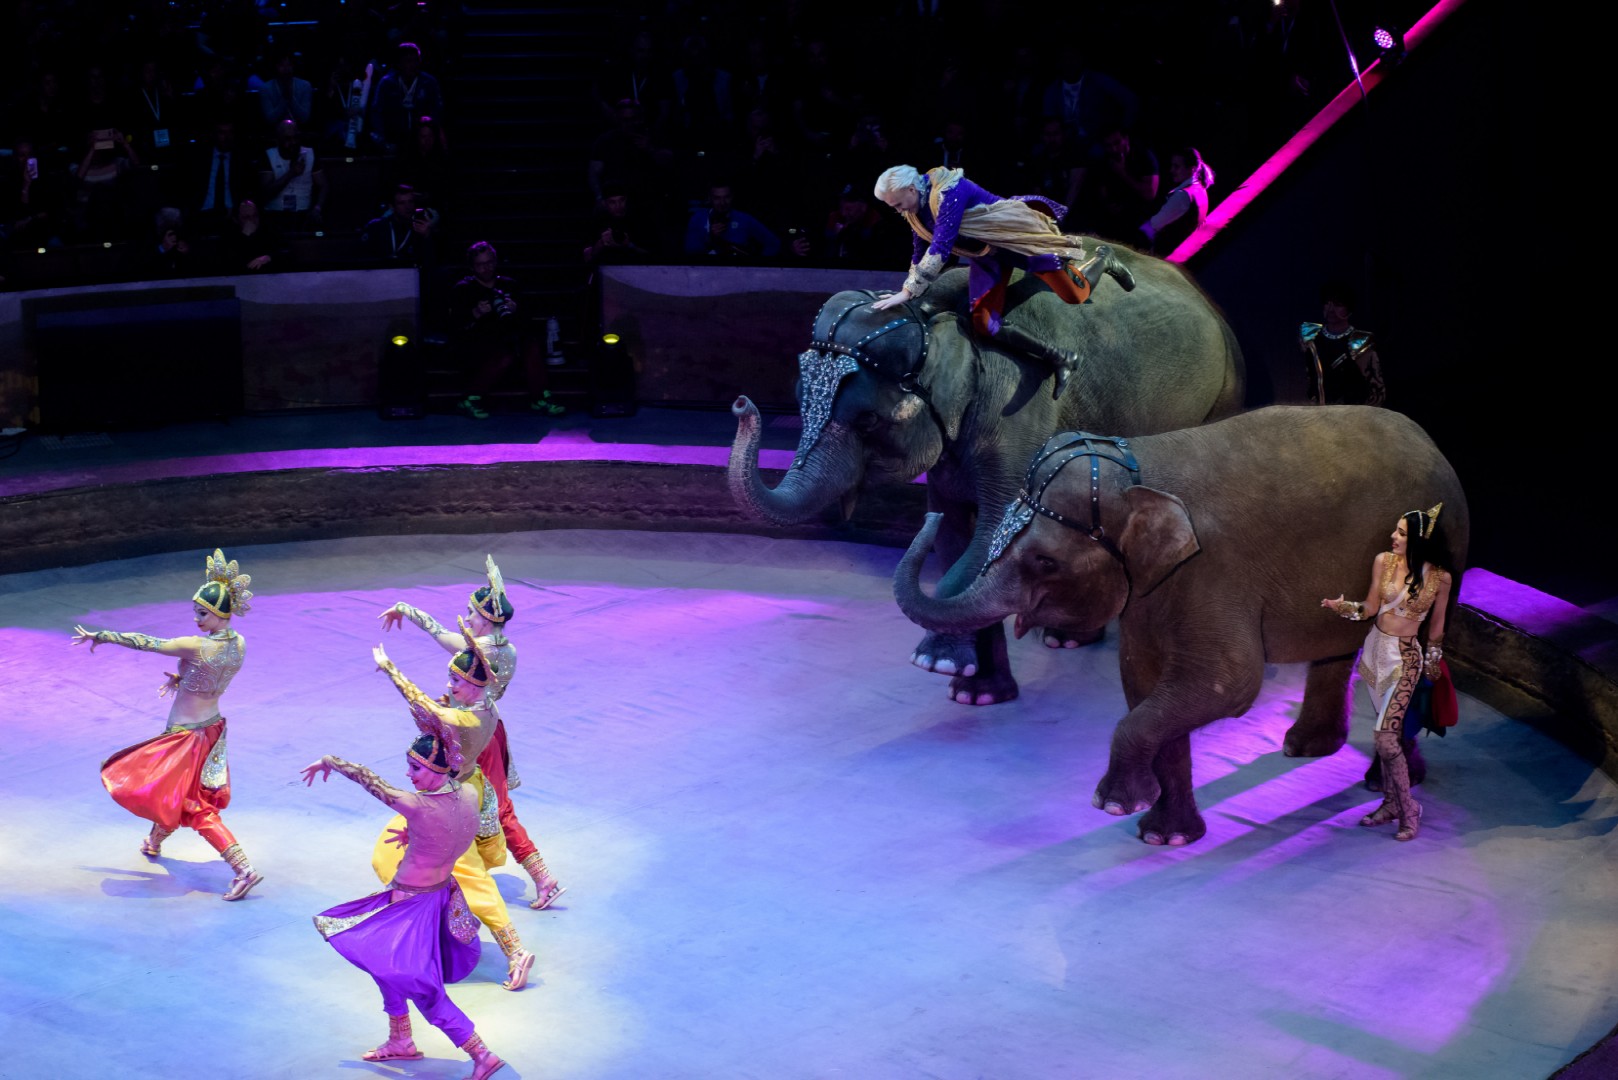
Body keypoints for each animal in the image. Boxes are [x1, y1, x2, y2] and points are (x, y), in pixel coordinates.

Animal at [729, 254, 1246, 706]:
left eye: (868, 420)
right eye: (798, 397)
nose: (741, 403)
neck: (941, 325)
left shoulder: (1023, 409)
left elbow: (996, 528)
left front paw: (933, 661)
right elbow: (956, 529)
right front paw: (972, 692)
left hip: (1224, 392)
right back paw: (1067, 639)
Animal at [891, 405, 1469, 846]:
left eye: (1045, 562)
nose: (933, 512)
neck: (1140, 468)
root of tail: (1431, 439)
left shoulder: (1214, 570)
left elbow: (1228, 683)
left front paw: (1113, 805)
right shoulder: (1153, 591)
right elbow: (1143, 683)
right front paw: (1162, 836)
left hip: (1448, 559)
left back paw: (1382, 783)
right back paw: (1306, 750)